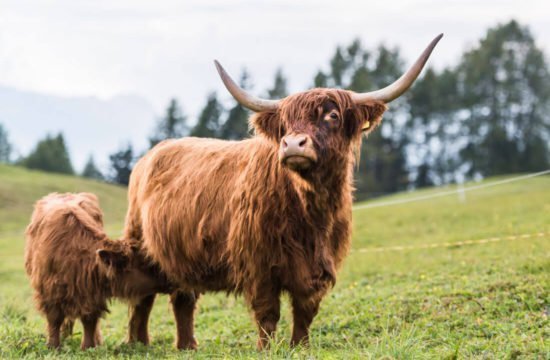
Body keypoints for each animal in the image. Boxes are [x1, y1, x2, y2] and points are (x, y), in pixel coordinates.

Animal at [24, 193, 171, 350]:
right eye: (146, 264)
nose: (171, 279)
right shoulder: (49, 292)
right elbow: (55, 319)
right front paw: (53, 345)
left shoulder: (93, 293)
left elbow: (89, 321)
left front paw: (88, 347)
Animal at [125, 34, 444, 348]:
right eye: (286, 122)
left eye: (332, 115)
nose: (292, 144)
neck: (311, 211)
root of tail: (153, 153)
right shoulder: (259, 262)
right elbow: (267, 312)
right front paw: (265, 348)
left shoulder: (319, 264)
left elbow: (306, 309)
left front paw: (300, 345)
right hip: (139, 244)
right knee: (142, 296)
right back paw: (138, 343)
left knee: (183, 298)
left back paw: (187, 345)